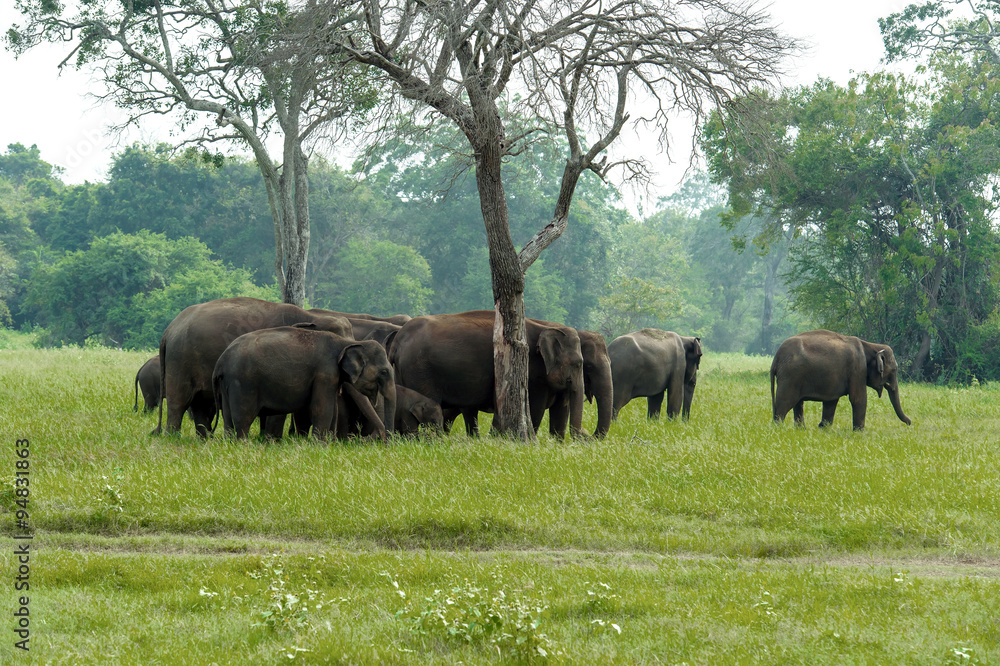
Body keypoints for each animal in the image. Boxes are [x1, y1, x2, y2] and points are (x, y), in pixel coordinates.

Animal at [156, 297, 355, 437]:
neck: (311, 316)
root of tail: (168, 330)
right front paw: (272, 441)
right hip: (179, 362)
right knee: (179, 402)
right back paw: (173, 438)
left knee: (200, 405)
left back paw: (204, 439)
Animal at [212, 326, 395, 440]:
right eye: (384, 372)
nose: (387, 443)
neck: (345, 342)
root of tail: (221, 360)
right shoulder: (325, 373)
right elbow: (322, 409)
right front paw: (318, 446)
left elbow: (332, 410)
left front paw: (326, 444)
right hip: (243, 383)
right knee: (243, 418)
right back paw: (243, 445)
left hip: (227, 384)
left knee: (228, 419)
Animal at [389, 310, 585, 438]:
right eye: (578, 364)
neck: (544, 325)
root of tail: (397, 342)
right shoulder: (532, 372)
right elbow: (535, 408)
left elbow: (561, 409)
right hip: (419, 371)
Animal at [770, 329, 911, 430]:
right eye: (894, 370)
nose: (910, 423)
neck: (870, 345)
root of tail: (776, 357)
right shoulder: (858, 369)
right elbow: (858, 398)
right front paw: (859, 432)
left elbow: (831, 401)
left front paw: (823, 428)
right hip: (790, 376)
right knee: (785, 401)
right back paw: (779, 428)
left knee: (798, 403)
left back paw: (800, 430)